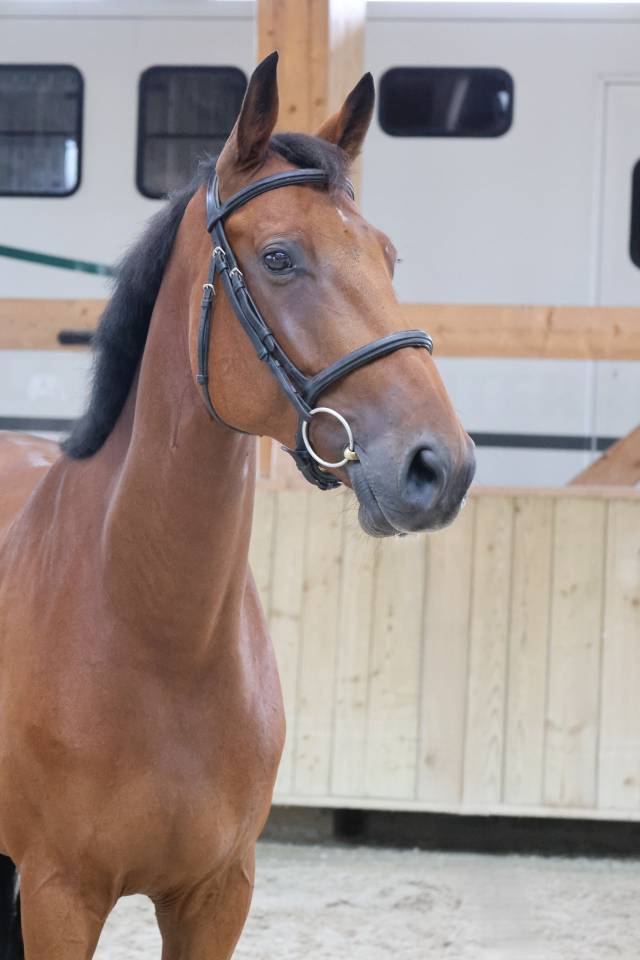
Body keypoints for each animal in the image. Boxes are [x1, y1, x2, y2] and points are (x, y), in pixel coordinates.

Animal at [0, 52, 475, 958]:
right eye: (281, 257)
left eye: (387, 256)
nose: (441, 467)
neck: (159, 639)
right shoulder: (58, 896)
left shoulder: (218, 896)